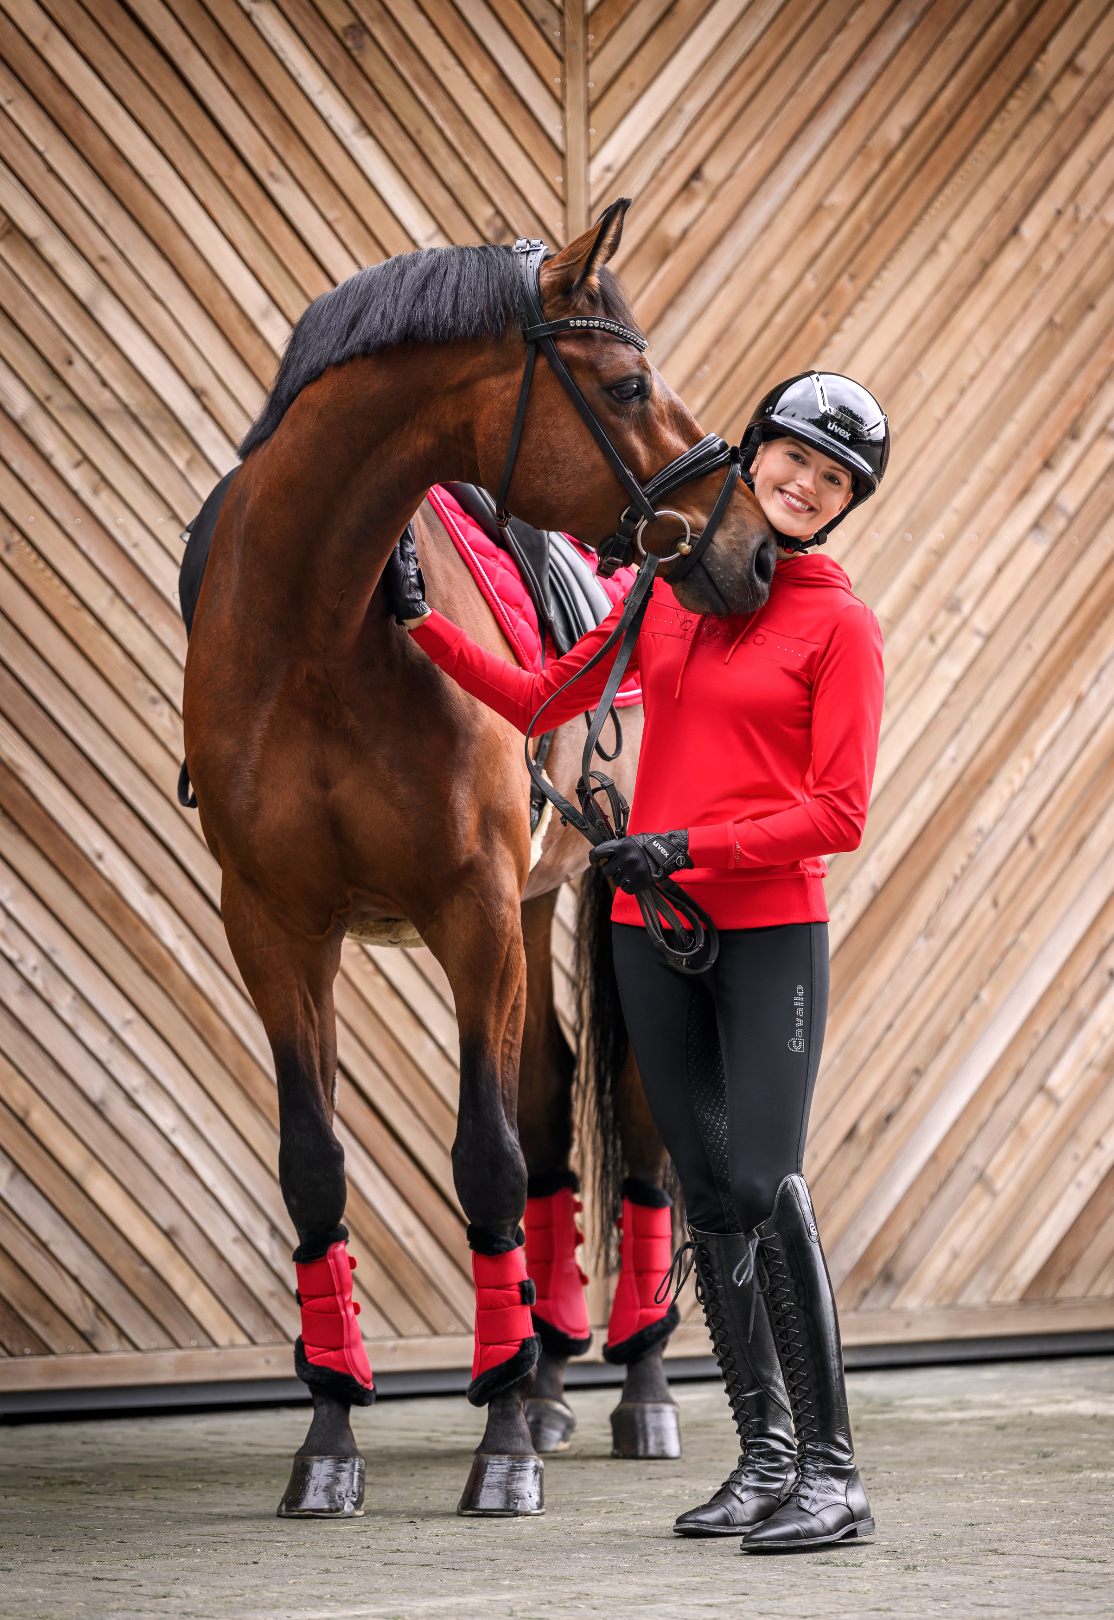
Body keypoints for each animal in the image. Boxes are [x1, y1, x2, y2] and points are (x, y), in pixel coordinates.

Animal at [181, 199, 776, 1519]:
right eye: (627, 383)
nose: (753, 550)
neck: (318, 630)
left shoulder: (472, 910)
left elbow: (488, 1162)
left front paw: (499, 1443)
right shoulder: (276, 925)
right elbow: (316, 1168)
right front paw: (330, 1436)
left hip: (597, 892)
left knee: (632, 1125)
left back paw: (633, 1384)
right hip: (524, 912)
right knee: (551, 1096)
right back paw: (547, 1374)